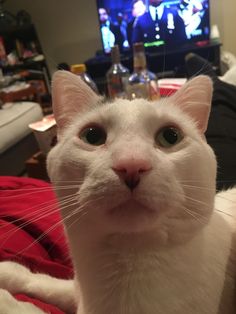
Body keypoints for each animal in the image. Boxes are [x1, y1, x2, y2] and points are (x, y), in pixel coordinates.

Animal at [0, 72, 236, 314]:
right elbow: (54, 286)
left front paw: (6, 300)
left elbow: (28, 309)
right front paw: (9, 273)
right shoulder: (81, 295)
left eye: (170, 136)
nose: (131, 164)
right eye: (92, 136)